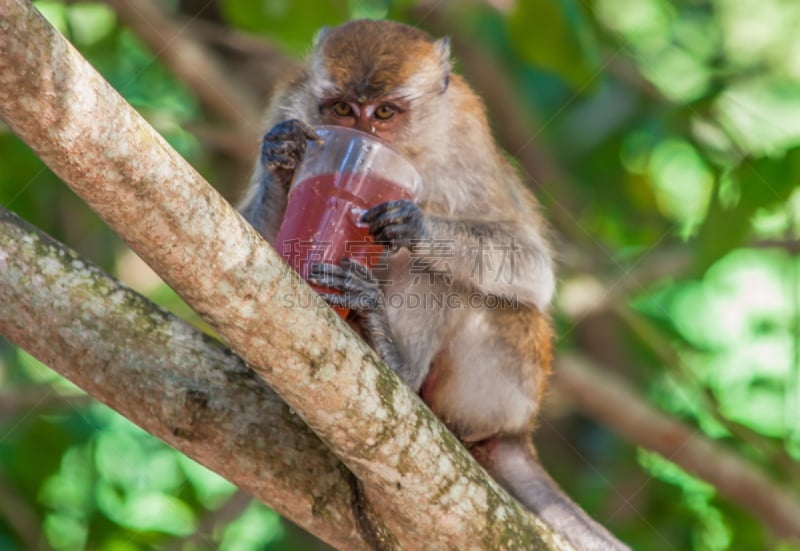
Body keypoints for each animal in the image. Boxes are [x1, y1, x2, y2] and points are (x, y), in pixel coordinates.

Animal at [241, 19, 628, 548]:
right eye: (341, 109)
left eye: (384, 112)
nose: (357, 139)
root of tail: (520, 428)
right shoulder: (288, 103)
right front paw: (283, 159)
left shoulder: (467, 138)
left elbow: (531, 267)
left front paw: (416, 226)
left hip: (504, 378)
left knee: (441, 275)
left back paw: (395, 360)